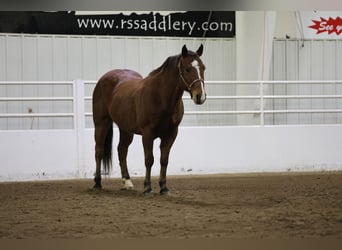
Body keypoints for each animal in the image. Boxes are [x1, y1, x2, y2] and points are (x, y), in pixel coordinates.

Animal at [91, 44, 207, 194]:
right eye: (187, 68)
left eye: (203, 67)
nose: (200, 96)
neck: (160, 96)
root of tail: (103, 79)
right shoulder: (147, 134)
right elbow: (149, 159)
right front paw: (147, 187)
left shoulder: (171, 134)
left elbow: (164, 160)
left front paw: (163, 187)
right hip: (101, 123)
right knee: (99, 151)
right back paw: (97, 182)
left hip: (126, 129)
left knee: (122, 151)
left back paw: (127, 182)